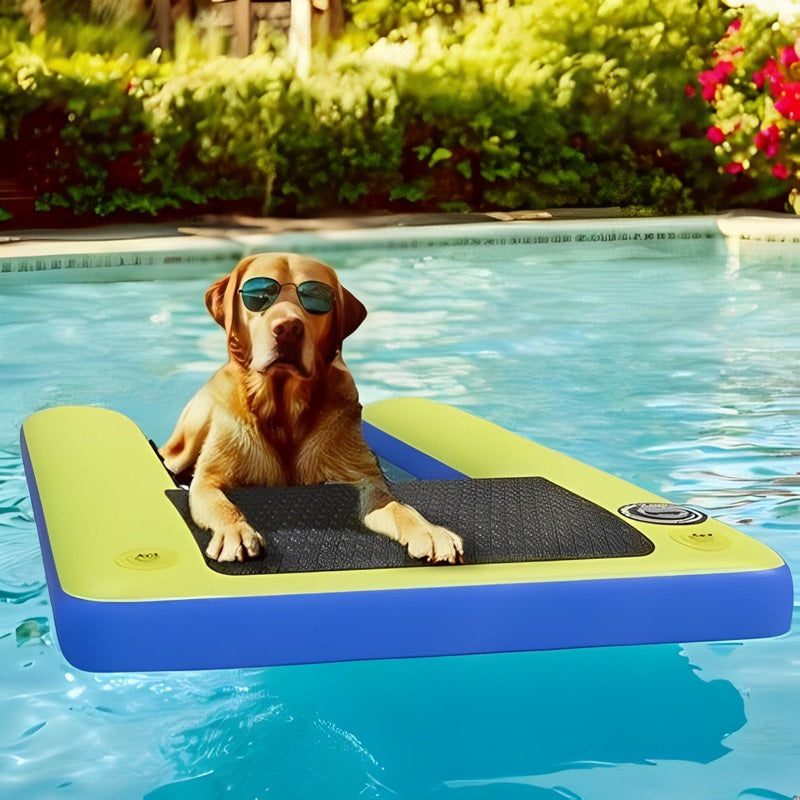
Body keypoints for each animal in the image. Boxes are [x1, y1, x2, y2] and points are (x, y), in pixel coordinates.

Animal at [159, 253, 466, 564]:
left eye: (316, 296)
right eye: (259, 295)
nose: (288, 328)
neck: (283, 407)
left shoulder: (364, 477)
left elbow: (397, 506)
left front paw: (429, 532)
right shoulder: (209, 479)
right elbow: (222, 504)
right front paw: (236, 532)